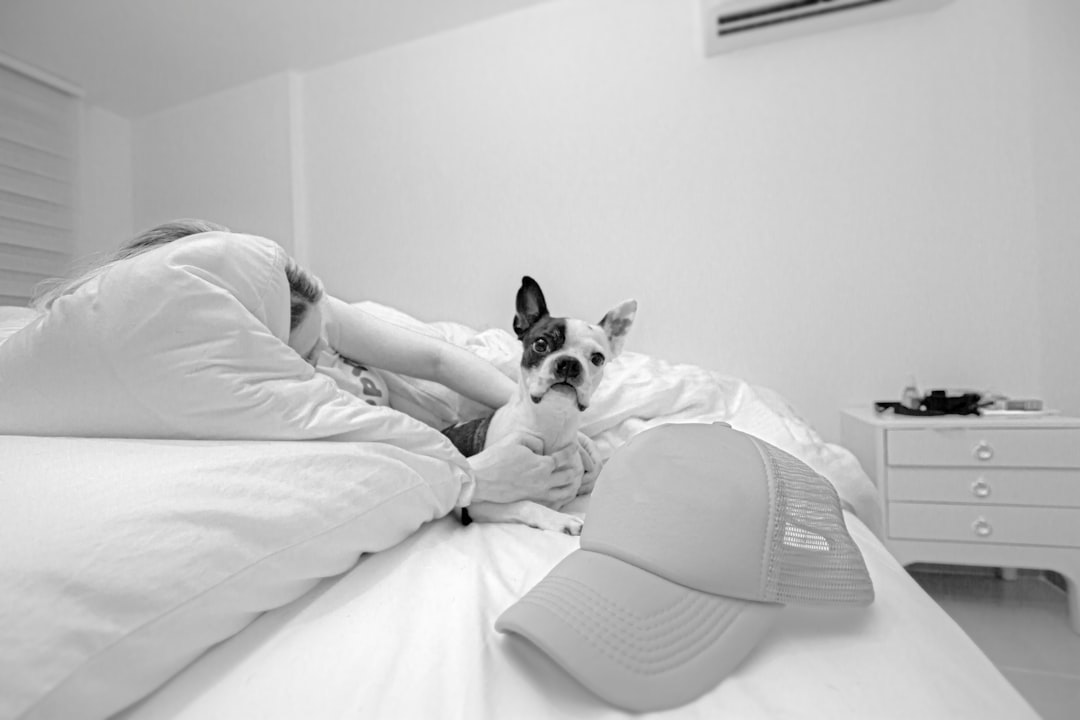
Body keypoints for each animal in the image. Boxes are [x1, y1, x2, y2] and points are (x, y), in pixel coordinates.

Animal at [442, 276, 635, 535]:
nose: (569, 363)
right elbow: (526, 504)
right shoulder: (478, 507)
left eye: (597, 358)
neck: (551, 420)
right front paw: (561, 520)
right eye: (541, 344)